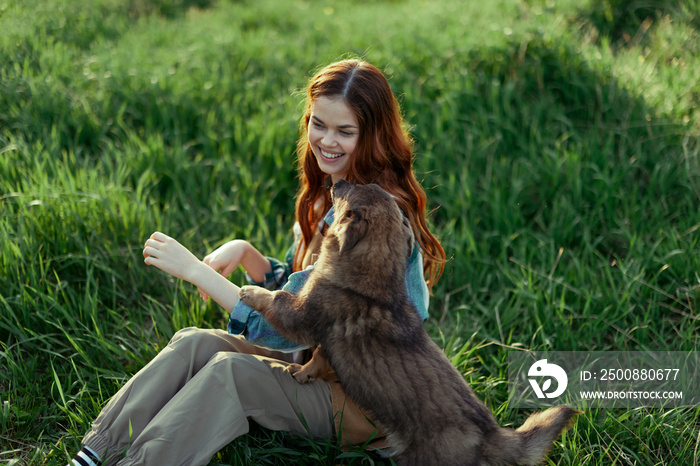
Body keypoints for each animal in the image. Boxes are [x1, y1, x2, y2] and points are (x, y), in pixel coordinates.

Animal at [238, 180, 576, 464]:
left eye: (353, 190)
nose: (338, 181)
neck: (371, 285)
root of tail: (491, 438)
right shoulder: (325, 342)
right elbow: (319, 359)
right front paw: (303, 372)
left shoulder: (301, 315)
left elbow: (278, 300)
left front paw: (250, 292)